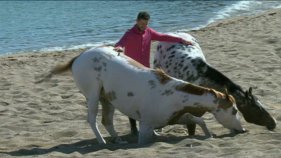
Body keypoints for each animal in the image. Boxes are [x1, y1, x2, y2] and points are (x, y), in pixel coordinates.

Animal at [40, 46, 245, 145]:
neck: (173, 94)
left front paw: (208, 135)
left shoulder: (174, 118)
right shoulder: (145, 126)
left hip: (107, 99)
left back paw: (117, 139)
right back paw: (102, 141)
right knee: (92, 120)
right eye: (234, 110)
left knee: (107, 121)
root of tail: (79, 57)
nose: (243, 130)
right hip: (93, 95)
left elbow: (198, 120)